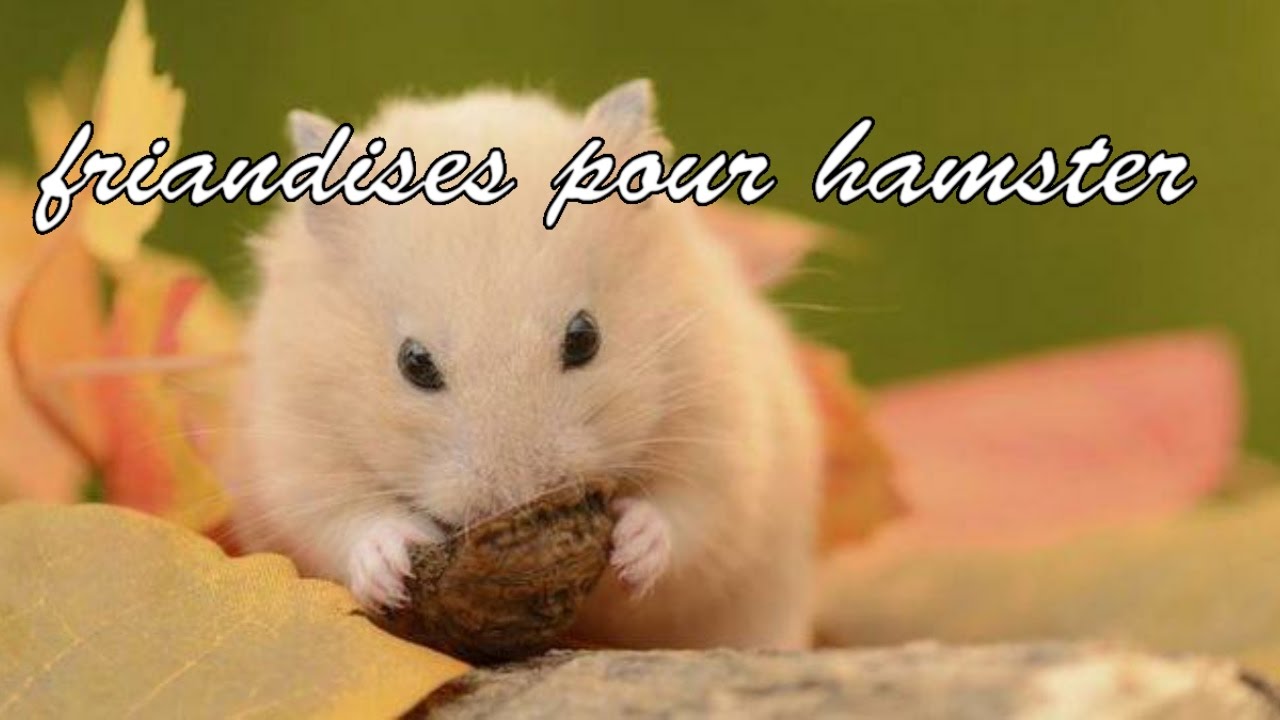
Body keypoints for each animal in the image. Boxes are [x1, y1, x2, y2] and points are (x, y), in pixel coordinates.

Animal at [224, 79, 824, 650]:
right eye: (414, 363)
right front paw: (390, 563)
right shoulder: (293, 445)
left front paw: (635, 545)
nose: (521, 500)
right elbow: (340, 520)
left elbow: (691, 512)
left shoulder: (721, 419)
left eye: (584, 338)